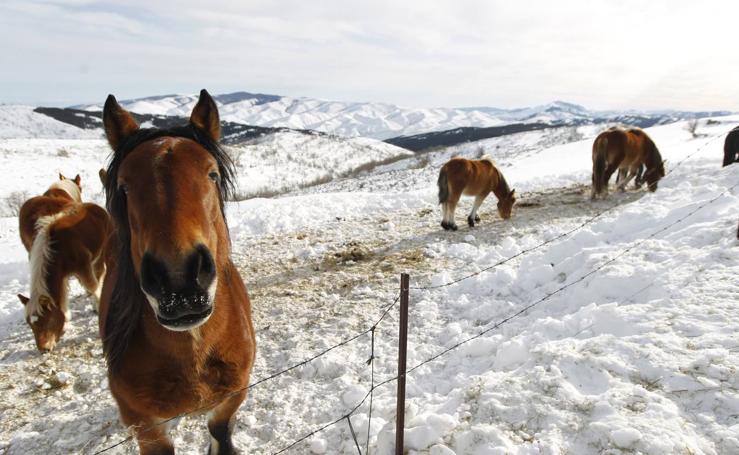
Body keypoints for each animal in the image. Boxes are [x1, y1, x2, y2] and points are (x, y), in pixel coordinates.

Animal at [15, 175, 112, 352]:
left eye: (47, 320)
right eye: (30, 324)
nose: (44, 349)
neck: (58, 249)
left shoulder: (83, 268)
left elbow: (93, 287)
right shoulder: (61, 274)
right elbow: (62, 294)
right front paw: (66, 318)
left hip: (99, 256)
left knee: (100, 275)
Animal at [99, 90, 258, 455]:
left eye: (212, 175)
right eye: (125, 186)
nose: (178, 280)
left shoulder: (233, 396)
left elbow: (220, 433)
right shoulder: (144, 425)